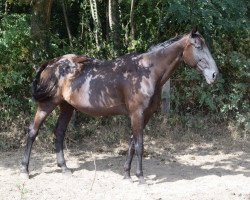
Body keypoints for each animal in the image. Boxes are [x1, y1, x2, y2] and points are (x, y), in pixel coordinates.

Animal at [20, 27, 219, 184]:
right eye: (198, 46)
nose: (214, 74)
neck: (146, 72)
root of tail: (53, 63)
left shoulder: (144, 115)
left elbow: (132, 143)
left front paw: (127, 174)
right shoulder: (137, 113)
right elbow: (139, 145)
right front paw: (140, 177)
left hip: (66, 106)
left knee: (59, 132)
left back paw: (64, 168)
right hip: (47, 104)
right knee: (32, 132)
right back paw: (25, 170)